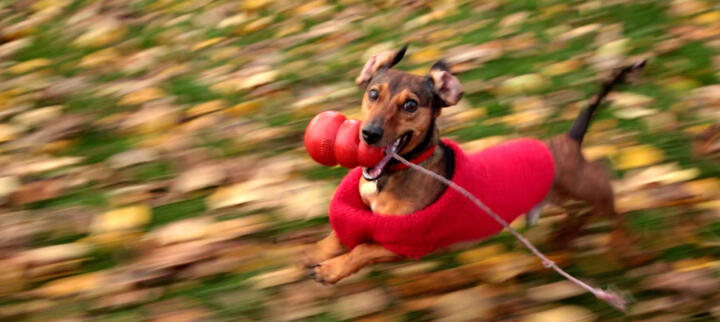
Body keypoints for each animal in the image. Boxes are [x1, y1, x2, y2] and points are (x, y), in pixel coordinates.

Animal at [300, 45, 644, 284]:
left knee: (608, 195)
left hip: (584, 186)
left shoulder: (406, 243)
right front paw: (317, 252)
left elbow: (361, 249)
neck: (394, 175)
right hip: (556, 195)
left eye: (410, 105)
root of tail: (569, 140)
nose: (368, 134)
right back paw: (567, 235)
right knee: (581, 212)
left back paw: (623, 243)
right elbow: (339, 236)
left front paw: (330, 269)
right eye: (373, 93)